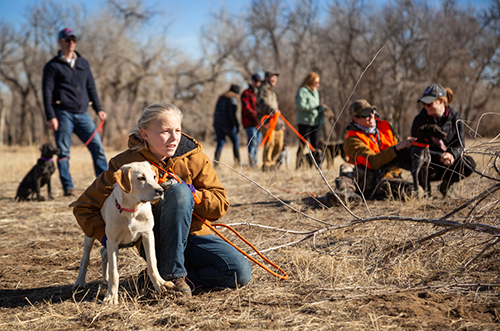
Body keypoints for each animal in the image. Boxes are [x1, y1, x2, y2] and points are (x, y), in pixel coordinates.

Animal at [73, 162, 175, 304]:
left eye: (154, 176)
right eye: (140, 178)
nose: (160, 191)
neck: (132, 210)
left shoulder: (148, 234)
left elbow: (152, 262)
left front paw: (160, 284)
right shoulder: (113, 241)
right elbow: (114, 271)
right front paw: (111, 296)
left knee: (103, 252)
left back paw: (105, 278)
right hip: (90, 234)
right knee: (85, 258)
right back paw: (80, 282)